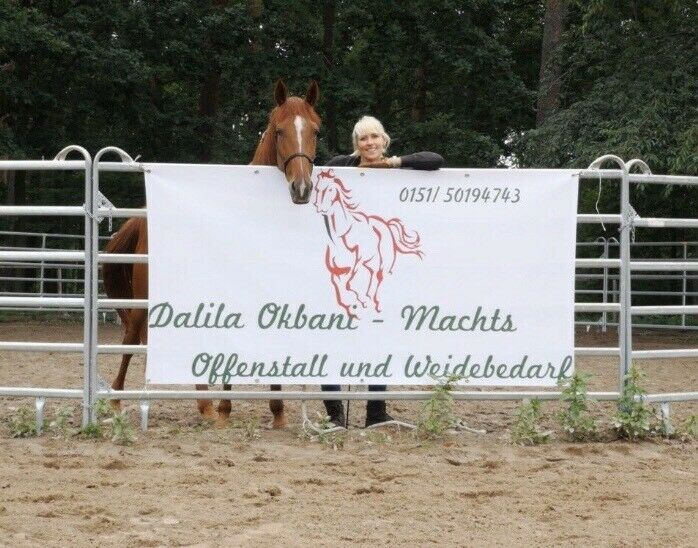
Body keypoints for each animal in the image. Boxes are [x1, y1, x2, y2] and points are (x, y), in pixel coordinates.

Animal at [102, 79, 320, 428]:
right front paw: (225, 408)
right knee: (131, 337)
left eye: (315, 130)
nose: (301, 188)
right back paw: (118, 400)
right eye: (279, 130)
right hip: (144, 296)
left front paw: (277, 411)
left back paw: (202, 403)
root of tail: (143, 218)